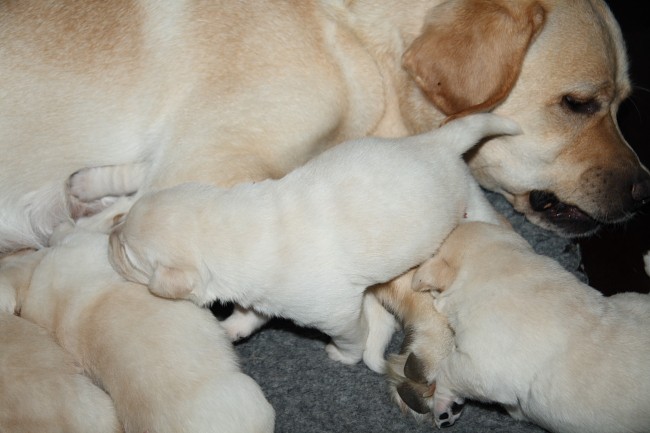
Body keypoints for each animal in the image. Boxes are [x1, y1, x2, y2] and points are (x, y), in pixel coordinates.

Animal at [107, 112, 516, 372]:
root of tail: (439, 141)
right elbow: (251, 314)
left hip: (471, 205)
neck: (231, 227)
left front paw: (343, 356)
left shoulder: (337, 313)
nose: (110, 235)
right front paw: (232, 328)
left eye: (128, 254)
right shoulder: (261, 293)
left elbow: (354, 336)